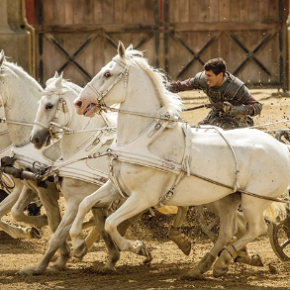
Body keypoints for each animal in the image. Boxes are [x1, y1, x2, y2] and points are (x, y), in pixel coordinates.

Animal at [71, 42, 290, 278]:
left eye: (107, 73)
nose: (79, 103)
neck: (142, 138)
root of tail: (281, 148)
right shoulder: (117, 186)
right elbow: (85, 204)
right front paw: (78, 245)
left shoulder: (144, 197)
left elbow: (110, 223)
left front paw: (139, 248)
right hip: (227, 199)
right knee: (228, 231)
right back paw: (205, 266)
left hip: (253, 201)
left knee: (256, 228)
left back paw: (224, 260)